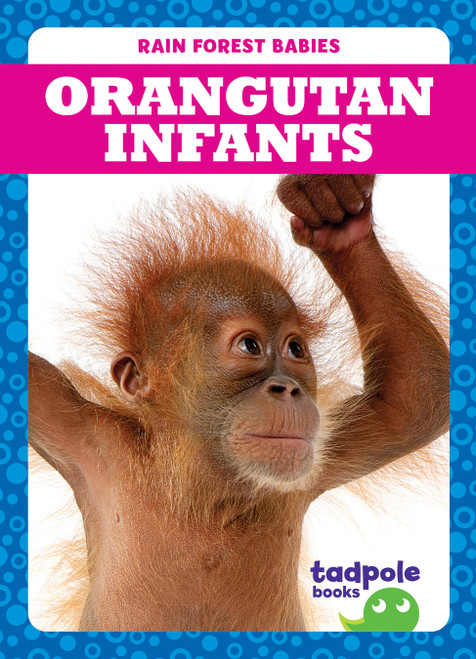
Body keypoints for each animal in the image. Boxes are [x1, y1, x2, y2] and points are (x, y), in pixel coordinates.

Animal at [28, 174, 449, 632]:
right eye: (250, 346)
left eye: (296, 350)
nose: (289, 388)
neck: (207, 486)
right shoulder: (89, 436)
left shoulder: (322, 454)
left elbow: (411, 405)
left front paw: (337, 220)